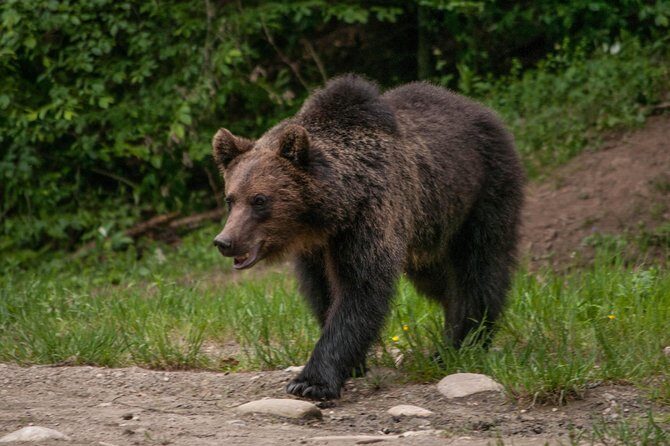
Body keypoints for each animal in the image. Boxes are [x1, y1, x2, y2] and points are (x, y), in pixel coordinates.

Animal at [211, 74, 524, 400]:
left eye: (260, 200)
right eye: (230, 199)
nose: (225, 241)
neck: (331, 212)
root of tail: (484, 110)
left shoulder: (370, 217)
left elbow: (360, 289)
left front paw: (311, 381)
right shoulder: (316, 249)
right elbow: (323, 292)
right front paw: (352, 364)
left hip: (482, 191)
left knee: (479, 267)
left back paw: (461, 344)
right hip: (429, 226)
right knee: (439, 278)